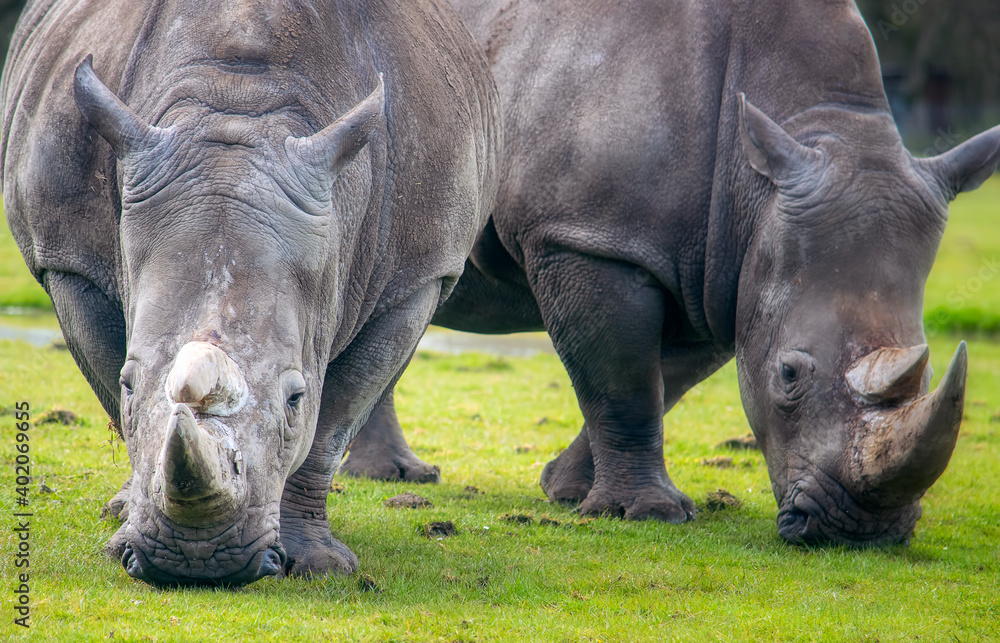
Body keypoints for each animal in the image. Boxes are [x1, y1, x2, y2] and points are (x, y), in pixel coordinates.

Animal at [1, 0, 499, 585]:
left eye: (294, 398)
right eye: (129, 385)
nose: (198, 560)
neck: (239, 106)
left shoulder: (418, 278)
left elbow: (333, 421)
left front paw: (318, 566)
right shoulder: (67, 261)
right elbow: (110, 387)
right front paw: (119, 540)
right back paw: (120, 510)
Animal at [345, 0, 1000, 546]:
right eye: (788, 375)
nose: (860, 530)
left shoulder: (721, 272)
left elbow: (663, 380)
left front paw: (568, 491)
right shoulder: (589, 238)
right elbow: (625, 381)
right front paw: (646, 514)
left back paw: (393, 475)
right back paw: (390, 477)